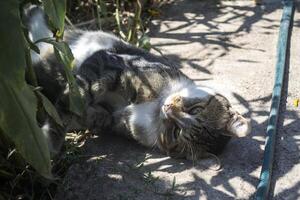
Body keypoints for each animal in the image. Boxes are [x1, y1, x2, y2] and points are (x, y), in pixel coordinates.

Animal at [26, 5, 251, 161]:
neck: (153, 108)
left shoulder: (110, 119)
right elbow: (79, 94)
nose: (169, 109)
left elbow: (83, 115)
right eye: (195, 110)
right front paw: (48, 144)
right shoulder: (110, 62)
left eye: (176, 133)